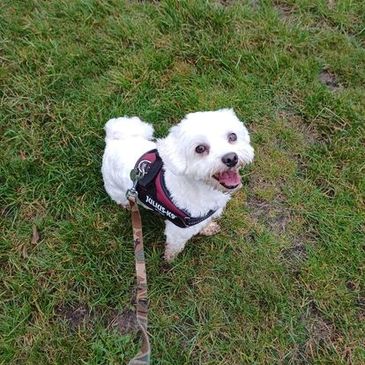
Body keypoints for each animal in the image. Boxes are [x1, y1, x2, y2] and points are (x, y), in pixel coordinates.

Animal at [100, 109, 253, 262]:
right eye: (200, 148)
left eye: (232, 136)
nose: (231, 158)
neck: (204, 189)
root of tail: (114, 140)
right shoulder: (178, 232)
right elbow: (175, 246)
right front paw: (170, 259)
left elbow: (204, 223)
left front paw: (208, 228)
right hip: (116, 190)